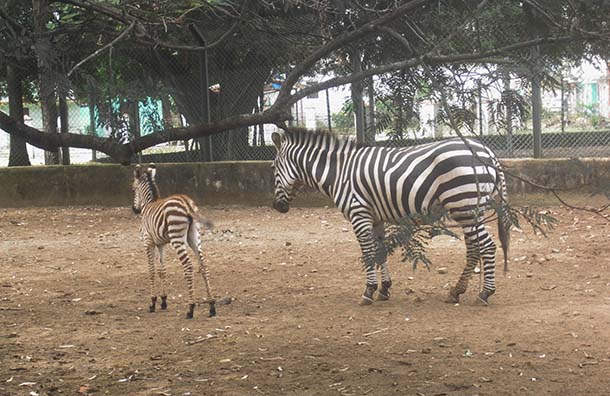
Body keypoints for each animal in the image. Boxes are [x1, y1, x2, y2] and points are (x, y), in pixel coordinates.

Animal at [132, 164, 215, 318]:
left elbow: (151, 270)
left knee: (188, 266)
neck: (148, 204)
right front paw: (164, 301)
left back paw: (190, 308)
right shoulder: (161, 244)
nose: (135, 209)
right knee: (203, 265)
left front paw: (152, 302)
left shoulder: (148, 242)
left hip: (177, 239)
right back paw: (212, 306)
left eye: (133, 189)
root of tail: (187, 203)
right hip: (194, 236)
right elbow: (162, 270)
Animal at [270, 129, 508, 306]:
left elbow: (368, 252)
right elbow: (380, 250)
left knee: (487, 246)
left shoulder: (359, 213)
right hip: (469, 210)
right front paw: (384, 289)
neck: (338, 173)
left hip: (464, 206)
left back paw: (485, 293)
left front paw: (368, 290)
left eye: (273, 168)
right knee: (474, 248)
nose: (277, 207)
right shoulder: (375, 217)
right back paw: (456, 291)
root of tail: (488, 152)